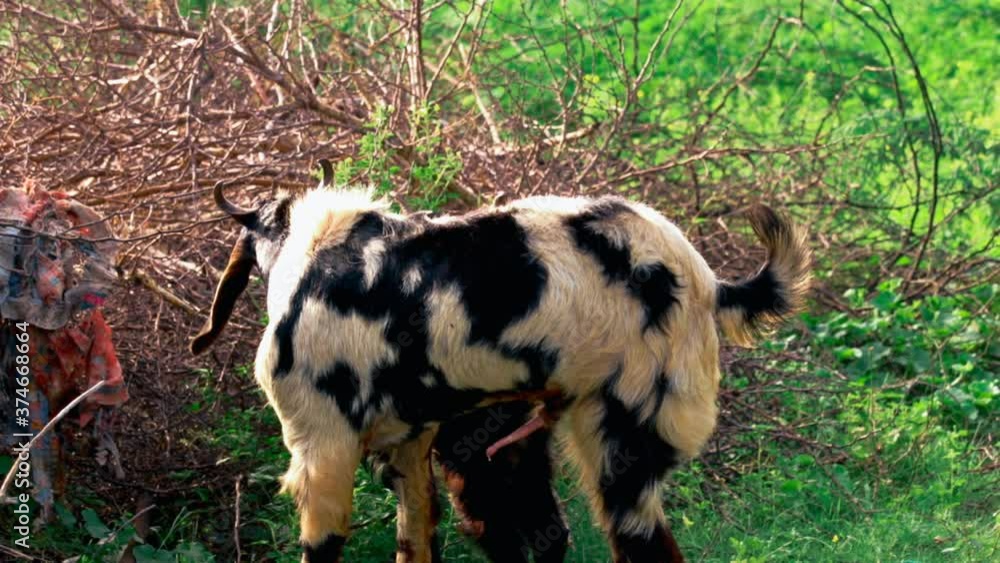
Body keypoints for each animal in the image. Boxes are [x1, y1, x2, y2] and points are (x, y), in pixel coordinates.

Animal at [191, 167, 810, 562]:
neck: (313, 256)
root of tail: (710, 284)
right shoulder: (411, 452)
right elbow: (416, 545)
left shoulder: (322, 449)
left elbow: (323, 550)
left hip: (623, 449)